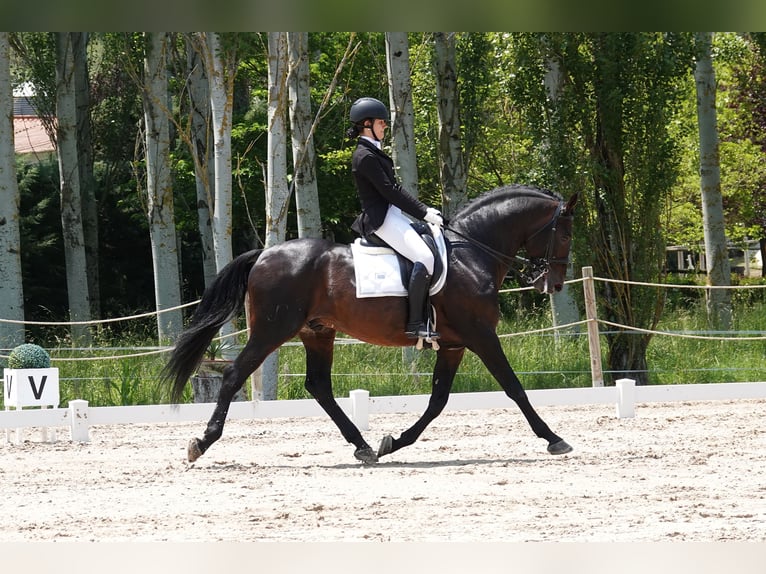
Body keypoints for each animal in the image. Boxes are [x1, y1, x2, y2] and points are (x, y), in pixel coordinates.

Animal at [162, 184, 579, 464]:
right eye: (565, 233)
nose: (554, 284)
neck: (472, 253)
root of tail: (264, 254)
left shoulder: (453, 344)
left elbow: (438, 400)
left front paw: (393, 442)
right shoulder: (481, 335)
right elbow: (514, 387)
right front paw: (554, 438)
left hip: (317, 333)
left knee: (319, 386)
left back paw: (363, 446)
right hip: (271, 331)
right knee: (235, 375)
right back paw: (202, 442)